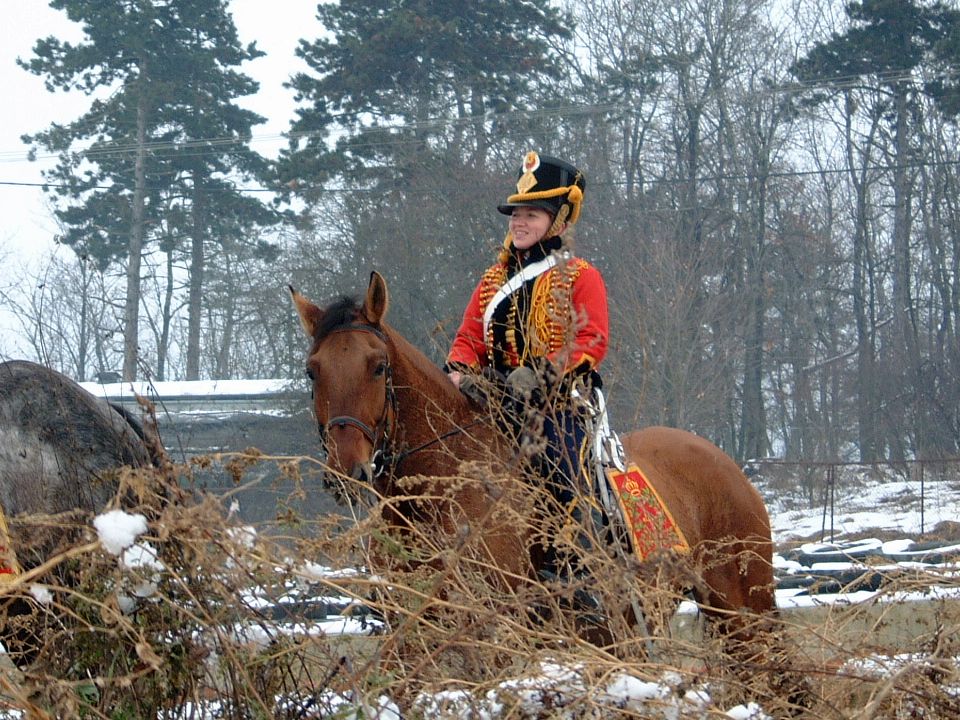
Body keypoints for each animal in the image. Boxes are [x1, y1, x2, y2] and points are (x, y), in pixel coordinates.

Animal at [288, 272, 776, 660]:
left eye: (378, 366)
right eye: (313, 370)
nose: (347, 471)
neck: (440, 487)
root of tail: (728, 465)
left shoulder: (494, 626)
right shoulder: (416, 630)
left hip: (744, 614)